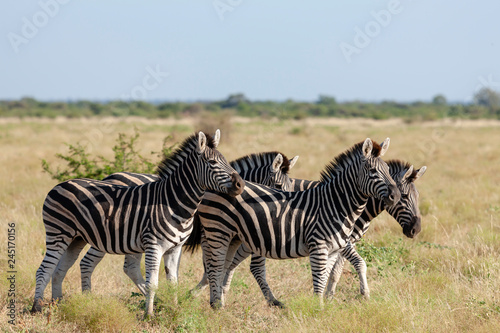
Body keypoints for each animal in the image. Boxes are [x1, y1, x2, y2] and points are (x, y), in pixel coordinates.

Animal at [31, 128, 244, 316]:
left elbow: (173, 282)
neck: (174, 203)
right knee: (44, 269)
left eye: (226, 161)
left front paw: (174, 309)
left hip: (76, 239)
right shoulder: (154, 246)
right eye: (212, 162)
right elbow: (153, 283)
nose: (240, 184)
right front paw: (149, 315)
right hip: (58, 233)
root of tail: (60, 184)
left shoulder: (175, 248)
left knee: (59, 270)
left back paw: (58, 304)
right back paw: (37, 308)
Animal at [69, 150, 296, 294]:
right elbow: (213, 269)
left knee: (129, 267)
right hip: (106, 235)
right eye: (278, 185)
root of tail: (108, 177)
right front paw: (197, 295)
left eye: (292, 186)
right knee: (89, 263)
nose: (285, 207)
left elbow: (226, 266)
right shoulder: (210, 235)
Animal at [193, 137, 400, 306]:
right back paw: (216, 304)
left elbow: (328, 277)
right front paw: (319, 311)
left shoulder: (334, 249)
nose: (396, 195)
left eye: (389, 171)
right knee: (216, 265)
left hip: (235, 237)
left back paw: (217, 300)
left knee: (223, 265)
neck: (336, 204)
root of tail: (211, 187)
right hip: (219, 231)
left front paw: (325, 307)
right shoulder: (319, 246)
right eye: (372, 170)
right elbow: (320, 281)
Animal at [217, 160, 428, 304]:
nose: (416, 230)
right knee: (245, 264)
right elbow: (359, 264)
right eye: (405, 196)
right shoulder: (342, 241)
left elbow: (335, 271)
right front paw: (363, 294)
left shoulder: (342, 242)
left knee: (233, 261)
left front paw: (329, 296)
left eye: (417, 196)